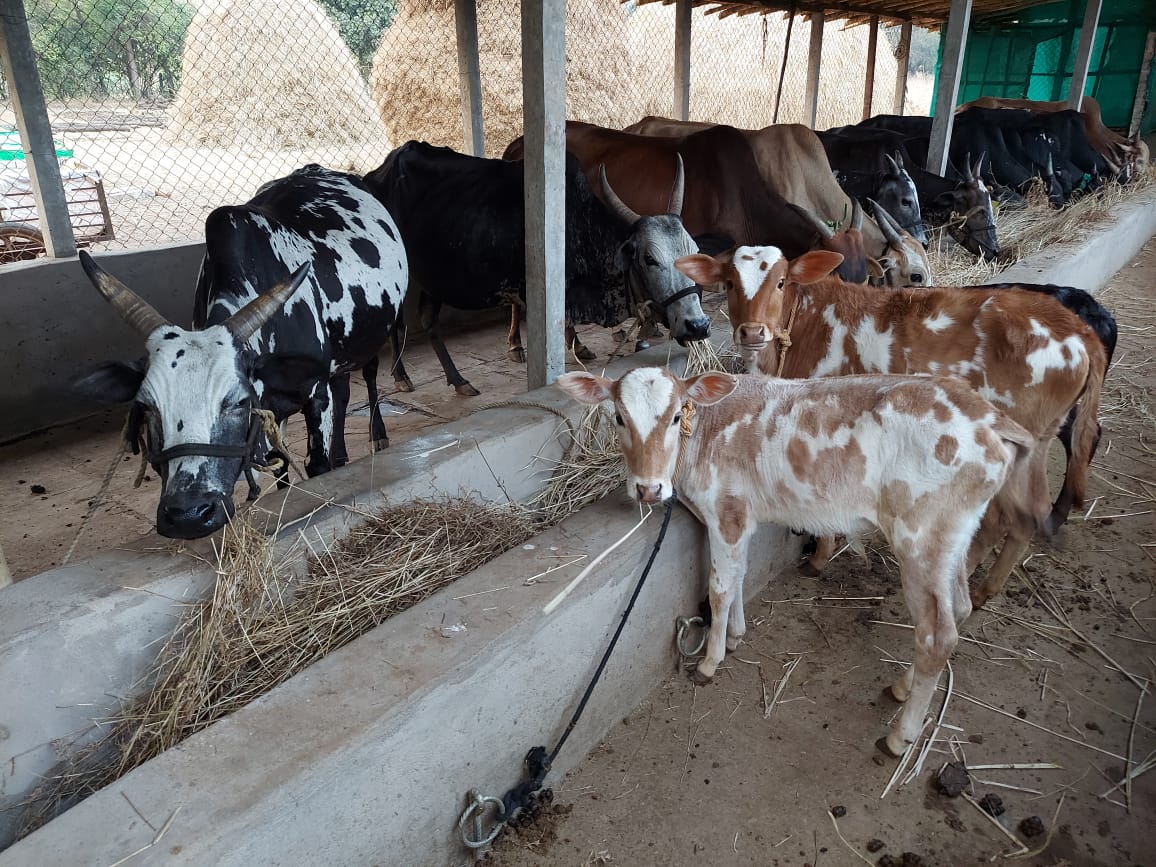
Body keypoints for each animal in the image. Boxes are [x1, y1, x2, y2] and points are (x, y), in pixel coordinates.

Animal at [72, 165, 409, 540]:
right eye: (145, 407)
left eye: (238, 402)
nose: (189, 515)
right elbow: (280, 469)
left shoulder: (314, 393)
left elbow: (317, 463)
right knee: (343, 388)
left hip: (375, 332)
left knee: (367, 375)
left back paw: (377, 436)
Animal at [362, 141, 711, 396]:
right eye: (650, 259)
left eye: (694, 252)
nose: (699, 326)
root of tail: (374, 174)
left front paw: (582, 346)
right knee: (400, 324)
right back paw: (402, 376)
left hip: (434, 277)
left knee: (428, 322)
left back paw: (457, 380)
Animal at [557, 365, 1035, 757]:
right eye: (619, 418)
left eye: (676, 416)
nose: (648, 489)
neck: (705, 436)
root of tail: (992, 419)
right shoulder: (743, 516)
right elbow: (739, 576)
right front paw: (736, 636)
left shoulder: (726, 512)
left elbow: (719, 587)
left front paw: (710, 661)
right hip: (950, 540)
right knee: (960, 606)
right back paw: (903, 686)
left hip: (920, 540)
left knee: (937, 635)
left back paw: (900, 735)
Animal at [675, 245, 1108, 607]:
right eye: (729, 283)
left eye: (781, 281)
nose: (751, 332)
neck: (808, 323)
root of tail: (1077, 330)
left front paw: (820, 554)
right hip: (1037, 440)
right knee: (1025, 513)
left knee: (1012, 515)